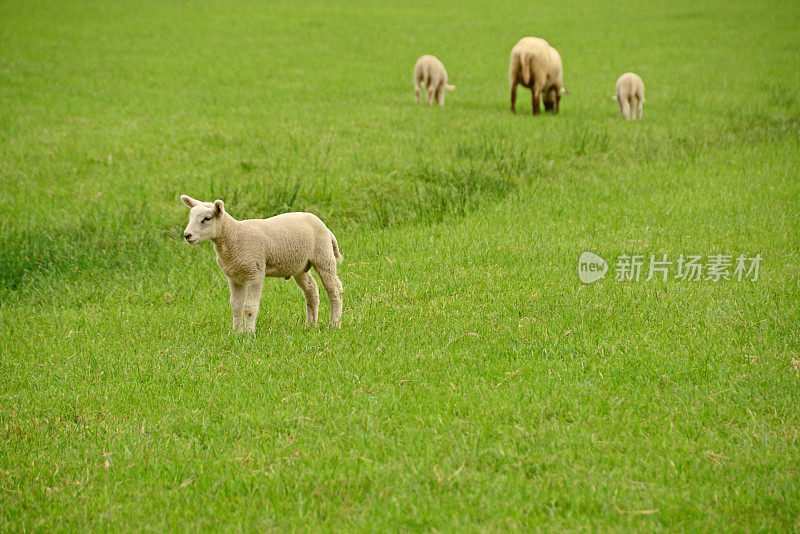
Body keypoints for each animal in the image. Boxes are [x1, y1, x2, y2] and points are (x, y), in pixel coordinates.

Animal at [181, 197, 344, 336]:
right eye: (190, 217)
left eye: (207, 219)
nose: (187, 235)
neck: (235, 235)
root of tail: (325, 227)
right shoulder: (234, 277)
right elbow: (235, 306)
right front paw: (236, 333)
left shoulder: (255, 273)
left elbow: (249, 307)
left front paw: (249, 335)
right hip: (300, 265)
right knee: (312, 290)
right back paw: (310, 325)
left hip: (323, 256)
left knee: (334, 290)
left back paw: (334, 324)